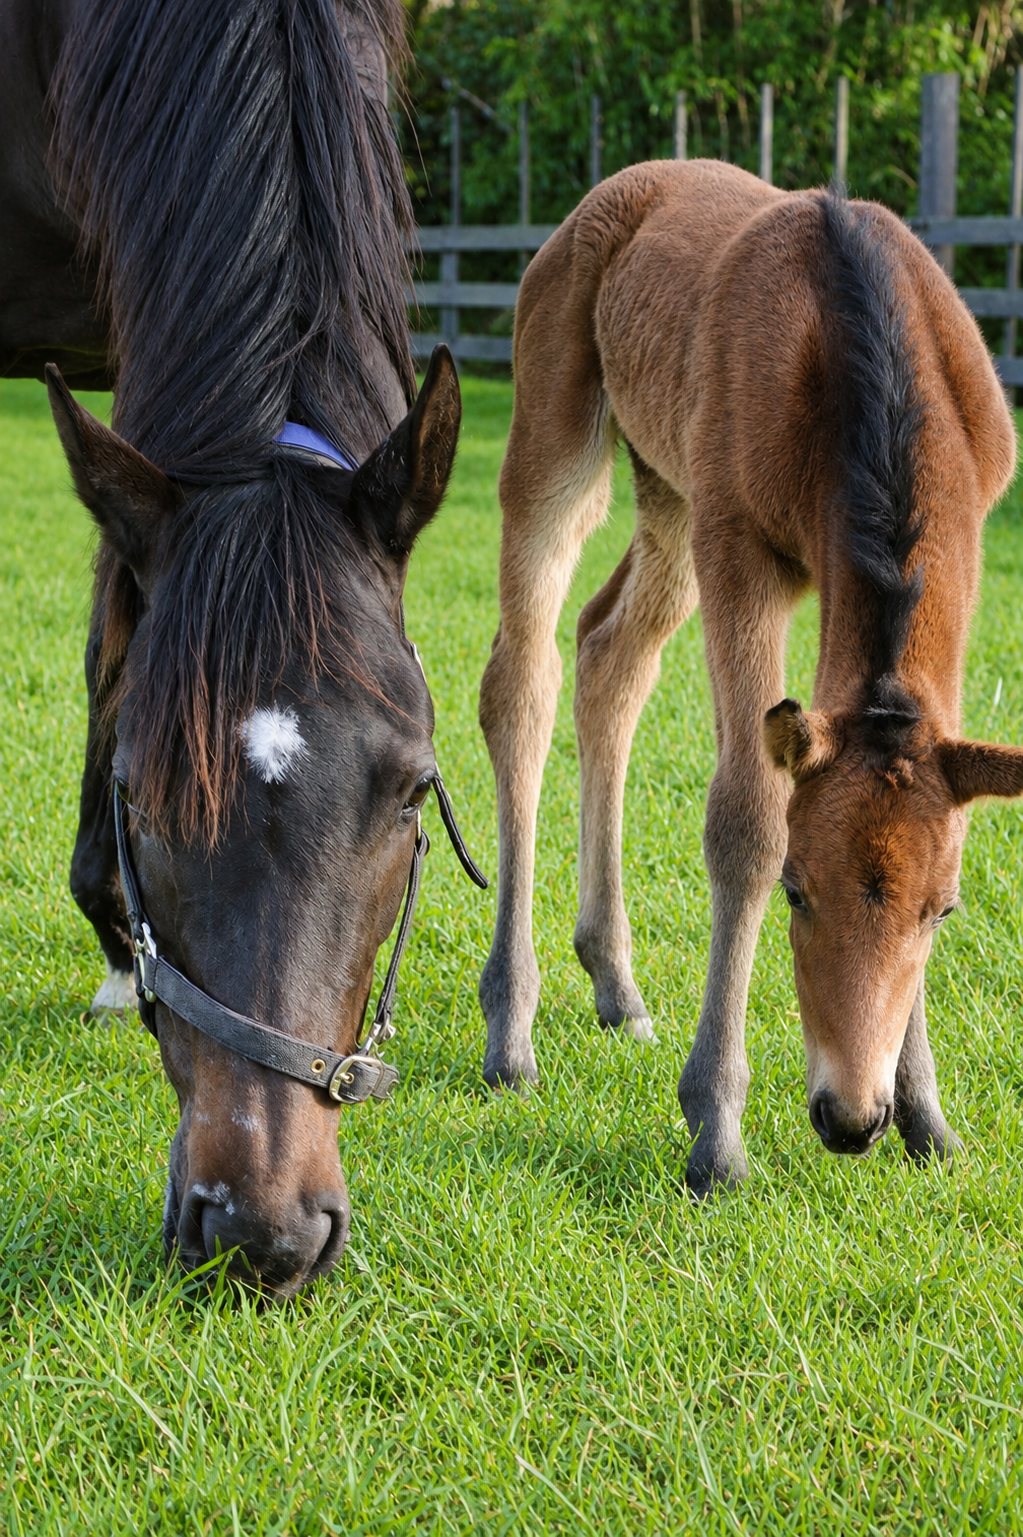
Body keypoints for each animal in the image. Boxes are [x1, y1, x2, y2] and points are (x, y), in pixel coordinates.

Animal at [479, 158, 1023, 1196]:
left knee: (609, 656)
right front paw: (715, 1128)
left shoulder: (964, 555)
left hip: (666, 491)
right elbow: (746, 818)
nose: (850, 1117)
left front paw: (927, 1116)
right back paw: (511, 1029)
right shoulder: (741, 548)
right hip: (561, 446)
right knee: (520, 685)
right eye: (797, 893)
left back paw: (615, 983)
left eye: (941, 912)